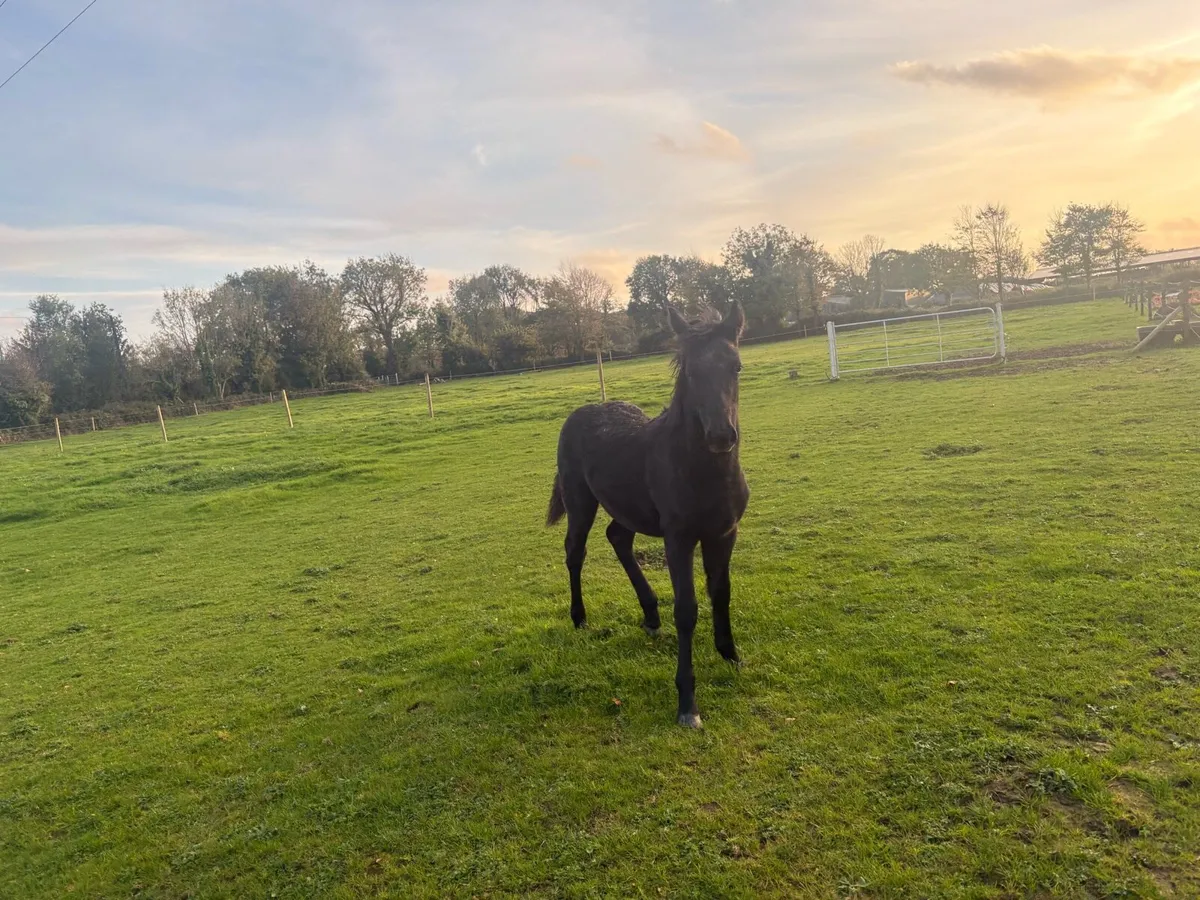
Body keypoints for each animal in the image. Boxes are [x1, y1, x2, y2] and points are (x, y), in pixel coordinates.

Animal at [546, 302, 749, 728]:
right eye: (690, 370)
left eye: (736, 366)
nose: (721, 436)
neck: (703, 472)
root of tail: (583, 410)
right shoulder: (678, 538)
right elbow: (687, 609)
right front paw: (688, 703)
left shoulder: (725, 532)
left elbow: (721, 593)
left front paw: (731, 655)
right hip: (580, 501)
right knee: (575, 551)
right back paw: (580, 618)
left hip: (626, 507)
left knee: (618, 538)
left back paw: (651, 617)